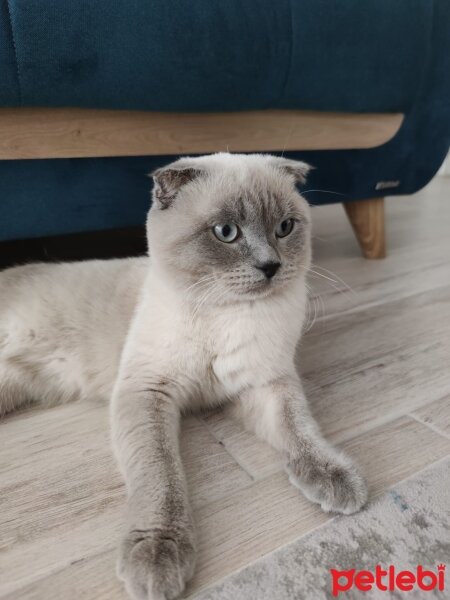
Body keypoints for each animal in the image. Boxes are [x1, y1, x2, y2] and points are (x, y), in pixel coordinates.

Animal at [0, 154, 366, 600]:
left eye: (285, 227)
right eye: (226, 233)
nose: (271, 266)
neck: (227, 312)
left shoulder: (263, 385)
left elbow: (301, 430)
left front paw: (337, 480)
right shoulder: (147, 391)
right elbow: (161, 474)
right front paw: (159, 555)